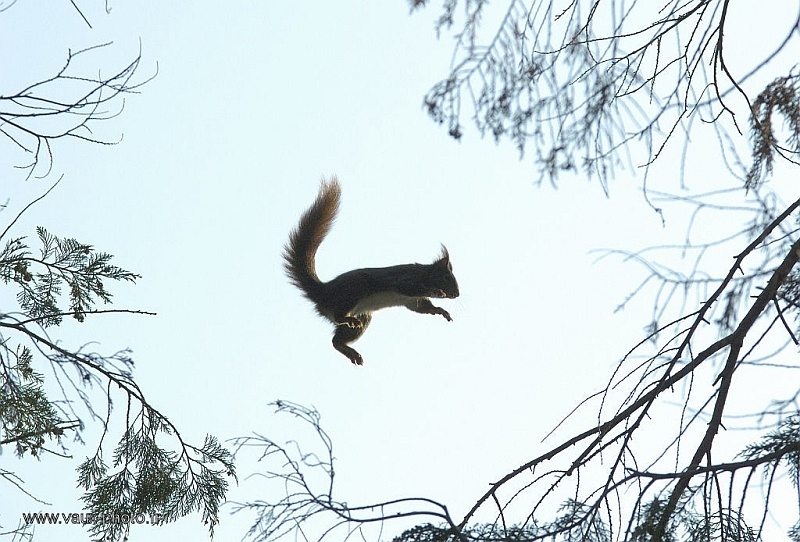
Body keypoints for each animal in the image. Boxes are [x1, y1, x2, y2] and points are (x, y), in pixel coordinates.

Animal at [283, 177, 459, 365]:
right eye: (446, 277)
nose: (457, 294)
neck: (424, 274)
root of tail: (322, 292)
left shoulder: (413, 301)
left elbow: (422, 307)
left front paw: (441, 311)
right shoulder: (406, 280)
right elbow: (411, 288)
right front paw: (436, 291)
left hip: (363, 316)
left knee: (336, 341)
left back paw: (350, 351)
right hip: (354, 291)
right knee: (338, 317)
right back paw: (346, 322)